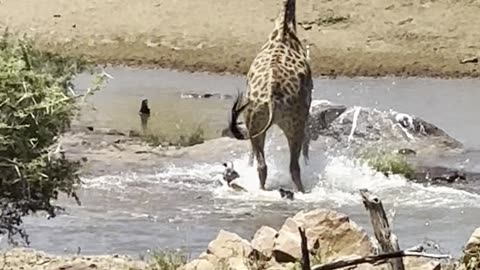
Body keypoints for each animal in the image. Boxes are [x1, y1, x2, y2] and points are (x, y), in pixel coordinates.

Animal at [228, 0, 312, 193]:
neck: (285, 28)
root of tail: (272, 95)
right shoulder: (307, 105)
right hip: (293, 125)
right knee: (293, 167)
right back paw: (303, 191)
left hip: (254, 120)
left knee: (262, 165)